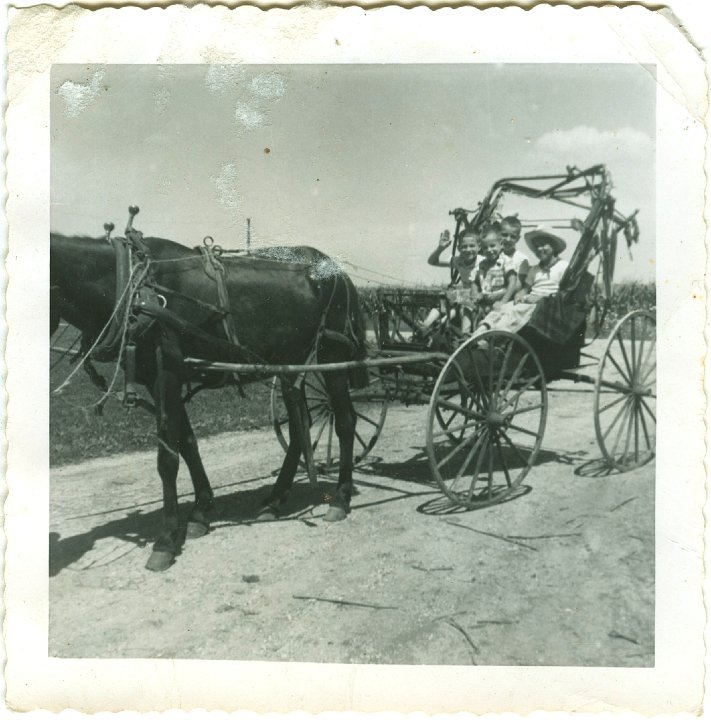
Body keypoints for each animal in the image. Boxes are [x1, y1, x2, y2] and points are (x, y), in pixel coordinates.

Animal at [51, 228, 368, 572]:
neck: (135, 287)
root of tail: (338, 271)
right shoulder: (160, 379)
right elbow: (188, 444)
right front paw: (201, 511)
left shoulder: (167, 375)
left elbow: (167, 459)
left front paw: (166, 540)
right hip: (289, 363)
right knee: (302, 424)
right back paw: (275, 500)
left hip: (332, 355)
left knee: (345, 420)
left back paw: (340, 498)